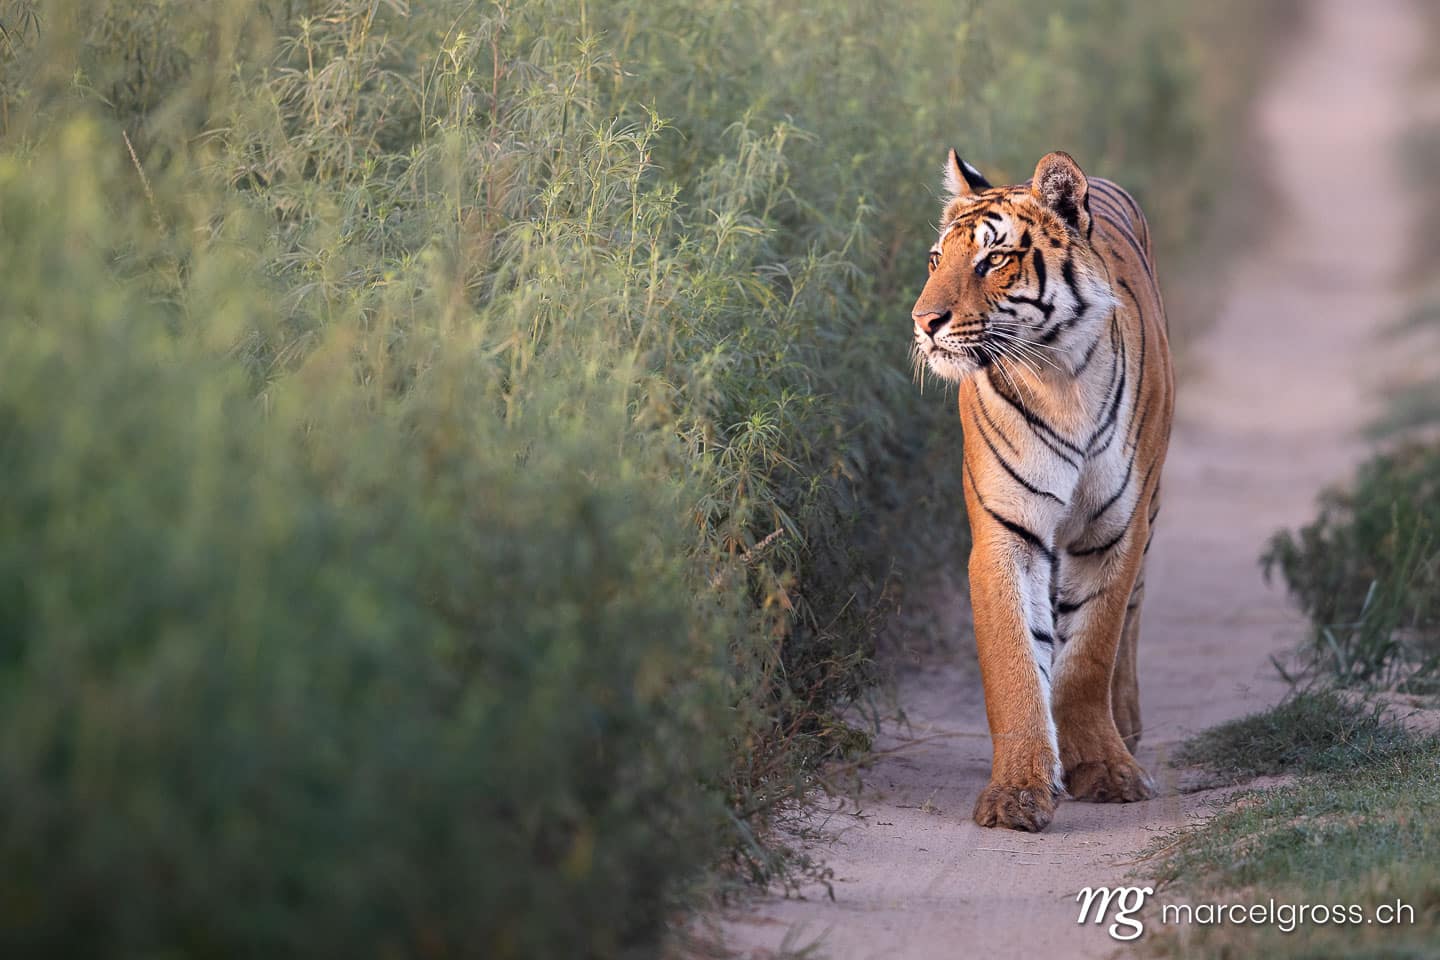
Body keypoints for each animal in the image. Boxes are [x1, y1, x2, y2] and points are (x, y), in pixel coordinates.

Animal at [909, 150, 1174, 832]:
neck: (1059, 375)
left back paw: (1127, 727)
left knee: (1133, 617)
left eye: (993, 260)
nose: (924, 322)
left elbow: (1090, 656)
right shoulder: (1007, 532)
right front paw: (1019, 790)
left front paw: (1107, 770)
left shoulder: (1117, 530)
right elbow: (1015, 663)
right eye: (936, 260)